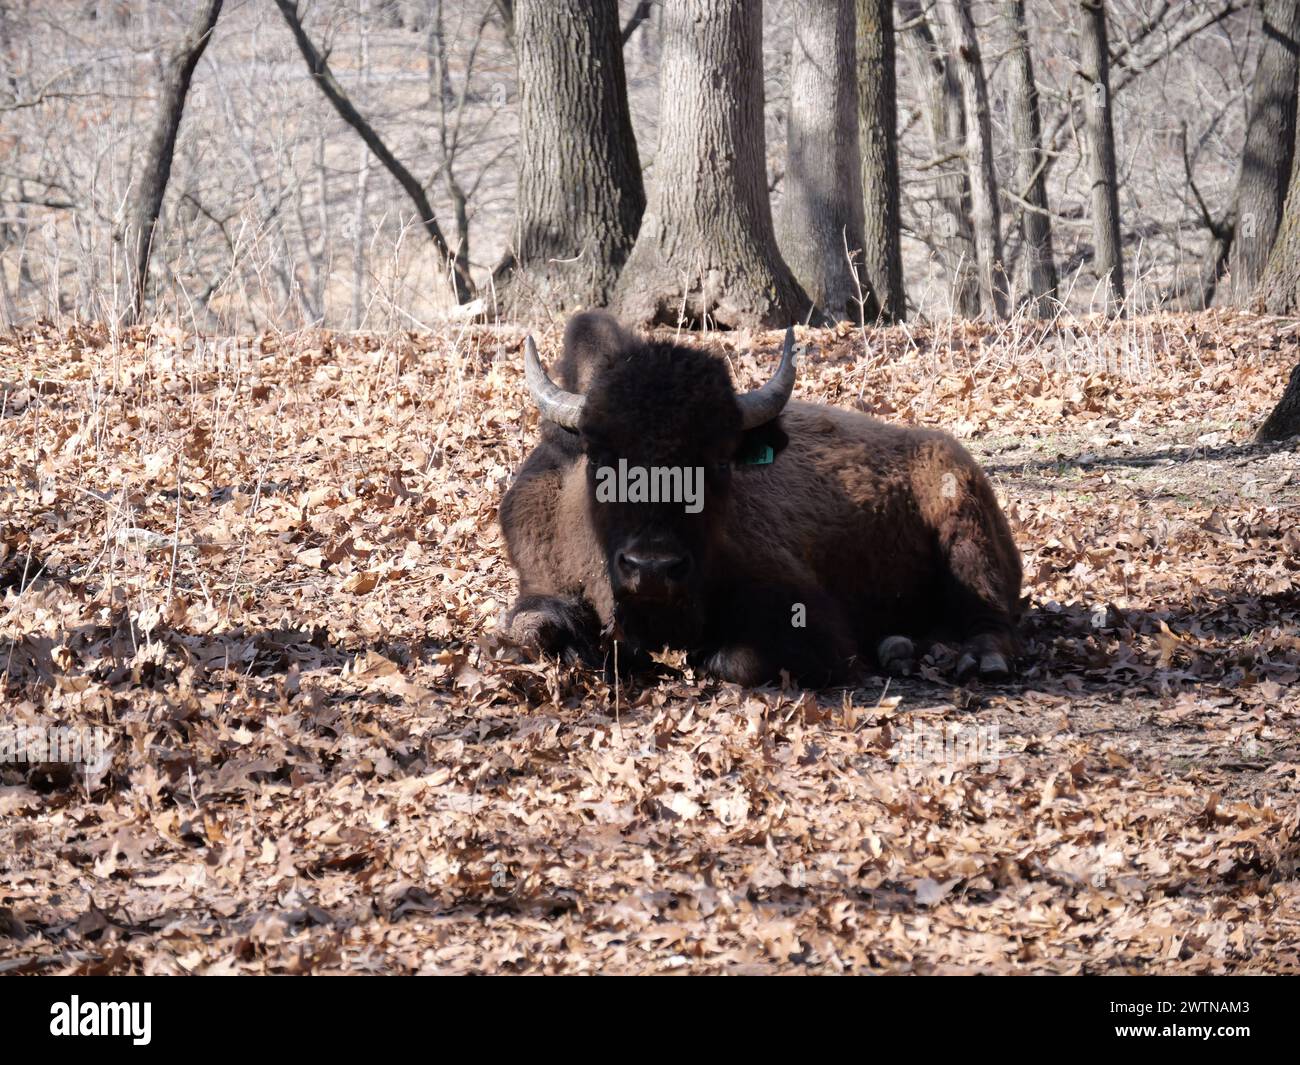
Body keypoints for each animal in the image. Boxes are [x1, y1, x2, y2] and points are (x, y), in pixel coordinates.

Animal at [496, 312, 1013, 686]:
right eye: (600, 457)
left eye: (720, 461)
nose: (653, 568)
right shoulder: (540, 577)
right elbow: (530, 630)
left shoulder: (808, 618)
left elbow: (731, 659)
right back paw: (901, 650)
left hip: (969, 536)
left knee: (993, 616)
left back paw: (977, 662)